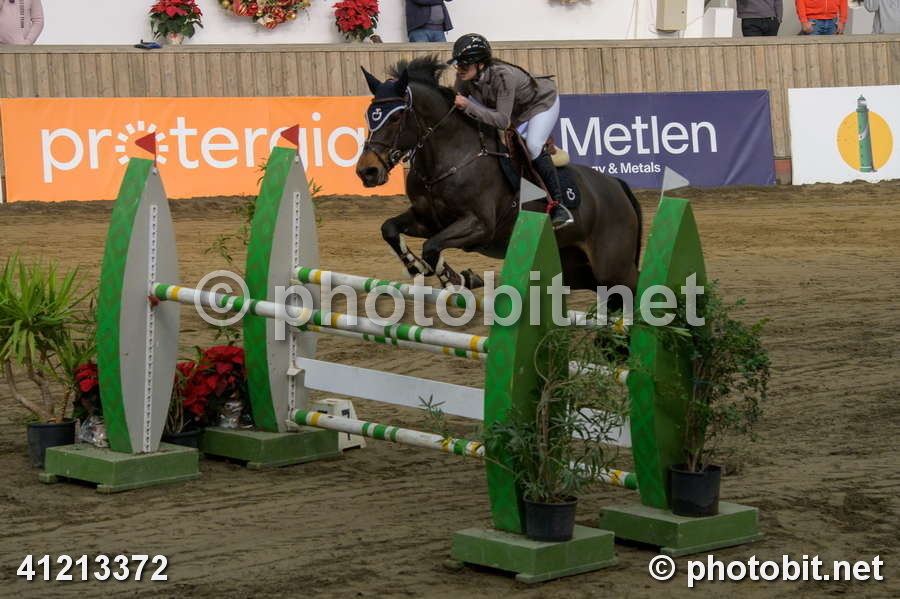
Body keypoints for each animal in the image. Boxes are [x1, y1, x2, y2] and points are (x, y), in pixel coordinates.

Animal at [355, 55, 642, 304]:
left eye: (395, 117)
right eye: (369, 115)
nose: (366, 172)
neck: (450, 158)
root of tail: (617, 185)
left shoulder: (480, 225)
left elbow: (432, 246)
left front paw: (457, 279)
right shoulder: (428, 220)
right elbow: (390, 229)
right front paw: (420, 267)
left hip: (613, 267)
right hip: (578, 267)